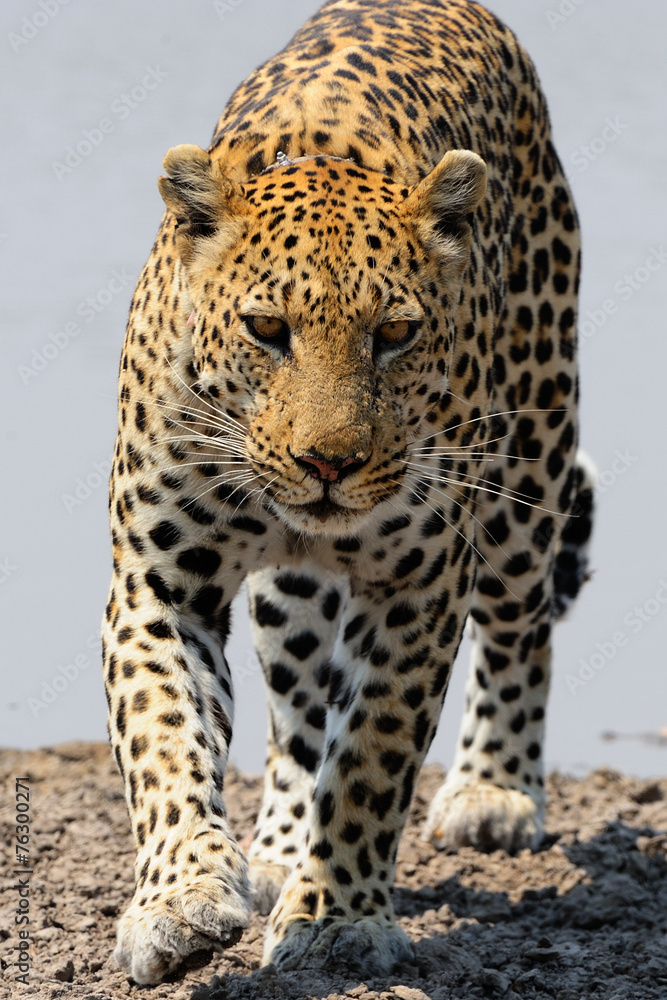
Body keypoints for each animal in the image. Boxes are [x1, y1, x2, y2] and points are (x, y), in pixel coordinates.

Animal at [102, 0, 595, 984]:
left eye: (395, 334)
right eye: (265, 328)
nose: (327, 462)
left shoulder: (419, 584)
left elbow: (373, 752)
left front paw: (337, 918)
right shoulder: (159, 584)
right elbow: (164, 734)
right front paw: (179, 901)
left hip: (528, 464)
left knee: (520, 627)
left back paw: (494, 791)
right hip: (289, 595)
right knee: (299, 705)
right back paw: (277, 845)